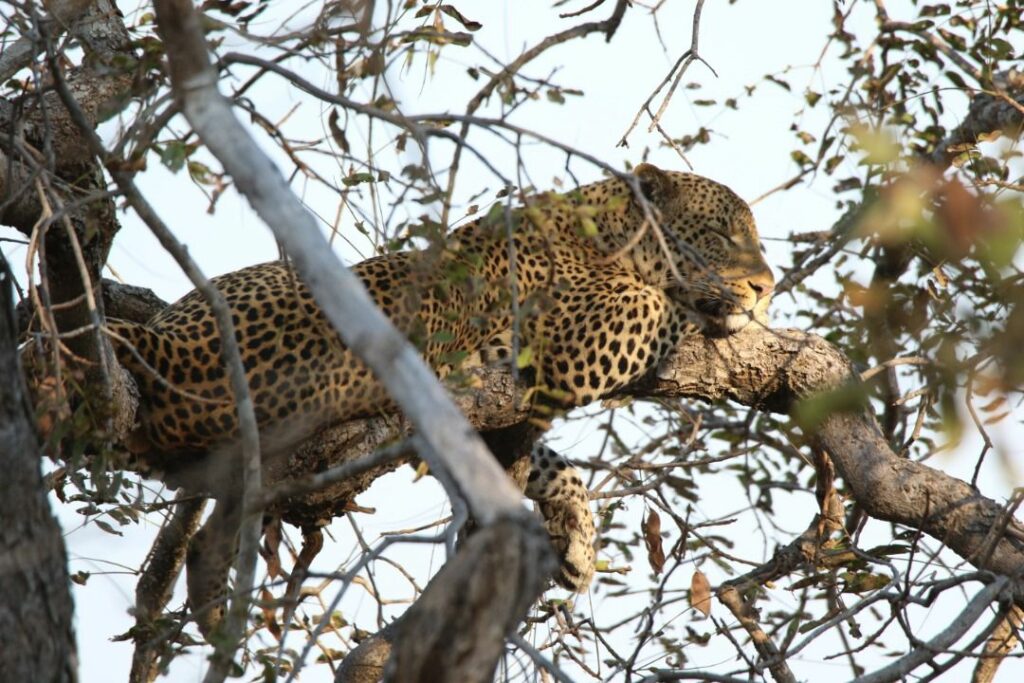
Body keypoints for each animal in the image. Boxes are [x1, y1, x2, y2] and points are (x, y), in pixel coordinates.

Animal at [108, 163, 774, 637]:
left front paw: (577, 537)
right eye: (721, 234)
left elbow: (548, 463)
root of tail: (174, 352)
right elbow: (668, 305)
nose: (767, 287)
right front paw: (730, 313)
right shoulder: (586, 333)